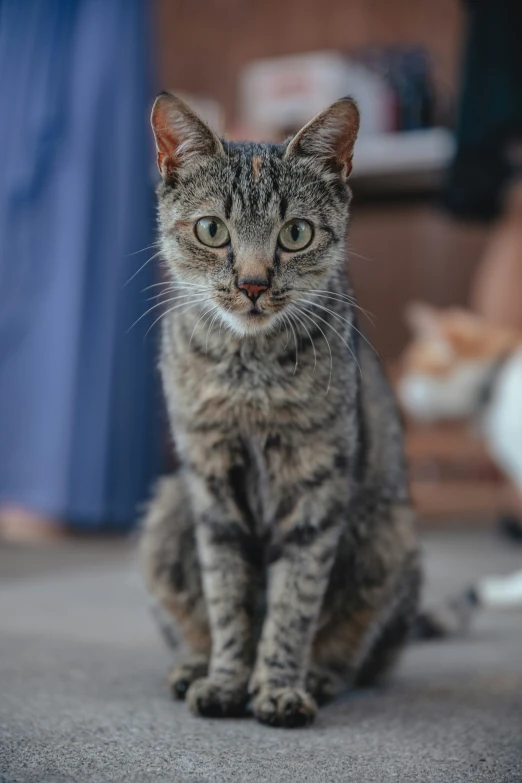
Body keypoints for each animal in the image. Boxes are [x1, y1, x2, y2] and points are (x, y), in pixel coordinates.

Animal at [139, 95, 418, 732]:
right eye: (212, 229)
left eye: (295, 233)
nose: (252, 284)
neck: (251, 376)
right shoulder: (211, 483)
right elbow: (227, 597)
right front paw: (225, 680)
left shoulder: (315, 486)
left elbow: (294, 599)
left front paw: (278, 687)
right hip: (168, 511)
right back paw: (193, 665)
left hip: (390, 538)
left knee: (360, 653)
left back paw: (320, 675)